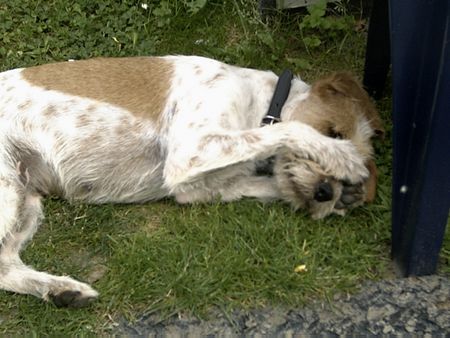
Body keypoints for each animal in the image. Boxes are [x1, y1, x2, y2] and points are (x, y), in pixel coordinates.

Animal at [0, 54, 384, 306]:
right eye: (334, 131)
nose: (325, 191)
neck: (259, 103)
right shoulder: (191, 150)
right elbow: (288, 130)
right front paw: (341, 157)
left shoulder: (196, 186)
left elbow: (267, 180)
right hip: (8, 195)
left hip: (25, 198)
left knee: (4, 266)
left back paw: (61, 290)